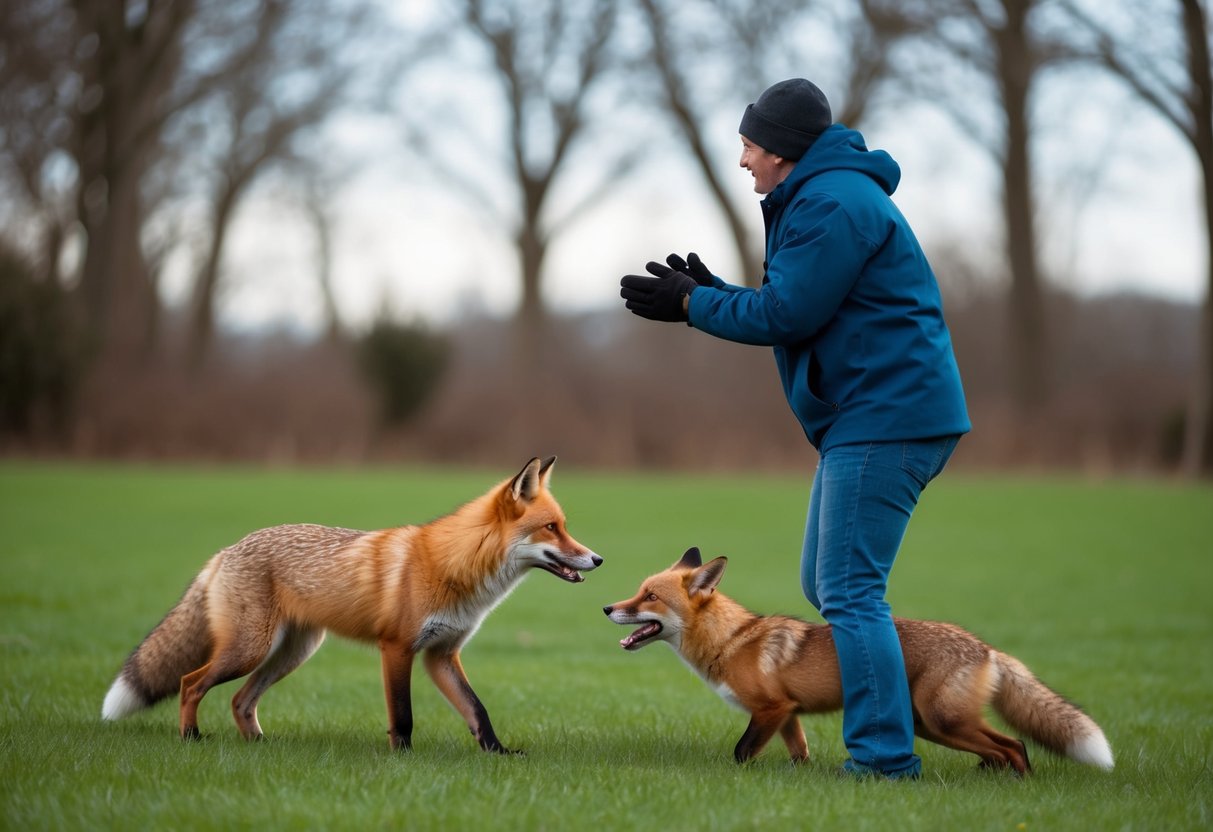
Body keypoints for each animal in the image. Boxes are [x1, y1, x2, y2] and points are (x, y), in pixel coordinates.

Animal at [102, 456, 601, 753]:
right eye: (552, 528)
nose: (598, 558)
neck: (455, 567)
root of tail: (227, 550)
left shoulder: (442, 654)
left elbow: (477, 711)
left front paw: (498, 754)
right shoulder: (397, 647)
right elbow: (403, 715)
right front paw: (404, 759)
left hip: (291, 653)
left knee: (241, 700)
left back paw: (260, 746)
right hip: (249, 649)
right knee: (190, 683)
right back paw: (191, 737)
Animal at [603, 548, 1114, 774]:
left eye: (649, 597)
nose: (607, 608)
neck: (731, 640)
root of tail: (985, 646)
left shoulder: (769, 710)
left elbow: (740, 753)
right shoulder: (787, 714)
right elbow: (799, 755)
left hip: (943, 721)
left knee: (1014, 746)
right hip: (932, 724)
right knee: (1009, 746)